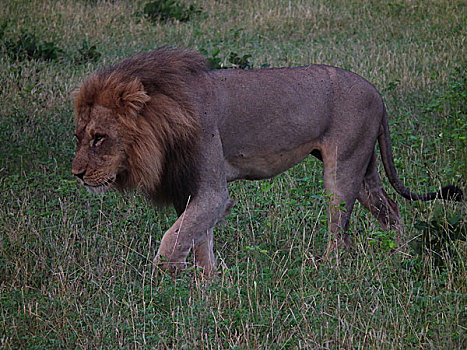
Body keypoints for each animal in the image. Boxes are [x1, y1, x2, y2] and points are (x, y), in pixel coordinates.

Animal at [71, 47, 462, 274]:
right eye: (79, 136)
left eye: (99, 137)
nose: (76, 174)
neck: (165, 121)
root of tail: (377, 93)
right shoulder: (192, 191)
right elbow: (198, 240)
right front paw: (209, 285)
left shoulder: (212, 191)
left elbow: (172, 241)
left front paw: (160, 286)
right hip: (364, 170)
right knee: (391, 211)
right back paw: (402, 260)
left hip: (343, 170)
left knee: (341, 233)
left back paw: (328, 272)